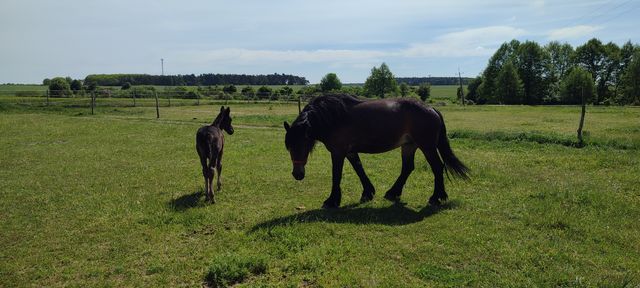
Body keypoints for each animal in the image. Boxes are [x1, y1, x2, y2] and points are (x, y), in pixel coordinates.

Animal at [284, 94, 470, 209]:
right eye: (289, 146)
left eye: (302, 144)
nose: (297, 174)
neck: (333, 117)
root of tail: (432, 109)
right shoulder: (350, 152)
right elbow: (359, 169)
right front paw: (368, 193)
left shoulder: (338, 152)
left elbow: (336, 175)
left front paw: (332, 201)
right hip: (409, 146)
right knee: (408, 168)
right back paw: (393, 193)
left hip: (427, 147)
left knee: (437, 167)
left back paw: (436, 197)